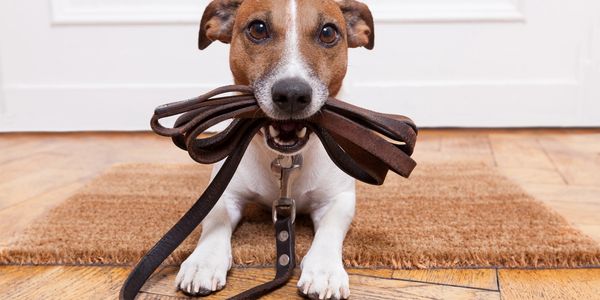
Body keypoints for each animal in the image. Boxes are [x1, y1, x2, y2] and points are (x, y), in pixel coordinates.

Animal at [172, 1, 376, 298]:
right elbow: (214, 221)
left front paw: (324, 270)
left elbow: (330, 230)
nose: (292, 94)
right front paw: (203, 261)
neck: (285, 159)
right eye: (258, 28)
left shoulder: (338, 199)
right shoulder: (225, 193)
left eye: (328, 32)